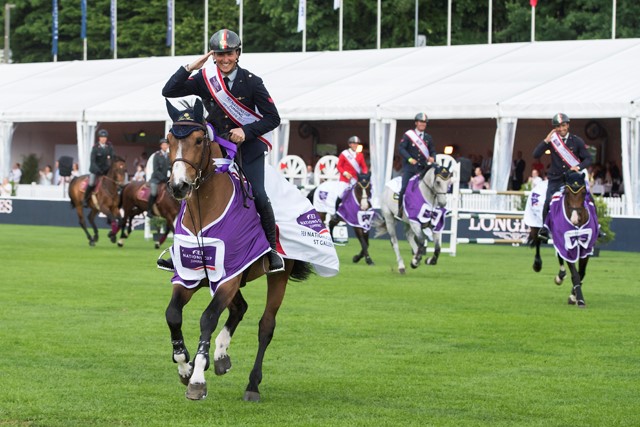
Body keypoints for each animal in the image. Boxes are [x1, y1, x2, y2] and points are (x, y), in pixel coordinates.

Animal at [164, 98, 314, 402]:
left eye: (199, 140)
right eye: (170, 140)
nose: (179, 186)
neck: (205, 212)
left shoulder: (228, 278)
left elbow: (208, 318)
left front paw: (197, 378)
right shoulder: (190, 275)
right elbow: (173, 314)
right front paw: (184, 365)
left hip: (276, 276)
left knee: (266, 325)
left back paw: (252, 385)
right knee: (240, 308)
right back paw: (221, 356)